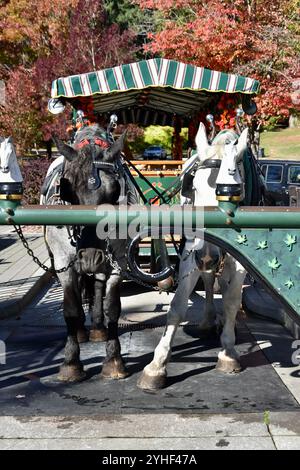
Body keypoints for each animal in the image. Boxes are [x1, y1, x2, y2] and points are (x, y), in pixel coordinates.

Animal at [44, 125, 130, 382]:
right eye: (69, 191)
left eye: (114, 193)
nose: (91, 257)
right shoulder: (64, 262)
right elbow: (70, 308)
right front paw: (71, 362)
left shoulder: (118, 261)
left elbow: (113, 307)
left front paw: (113, 360)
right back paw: (81, 331)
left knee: (98, 285)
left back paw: (98, 328)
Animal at [138, 124, 248, 390]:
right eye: (194, 188)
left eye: (236, 190)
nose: (207, 256)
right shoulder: (190, 254)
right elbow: (177, 307)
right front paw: (157, 366)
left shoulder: (240, 262)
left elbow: (231, 301)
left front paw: (228, 352)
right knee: (208, 282)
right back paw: (208, 319)